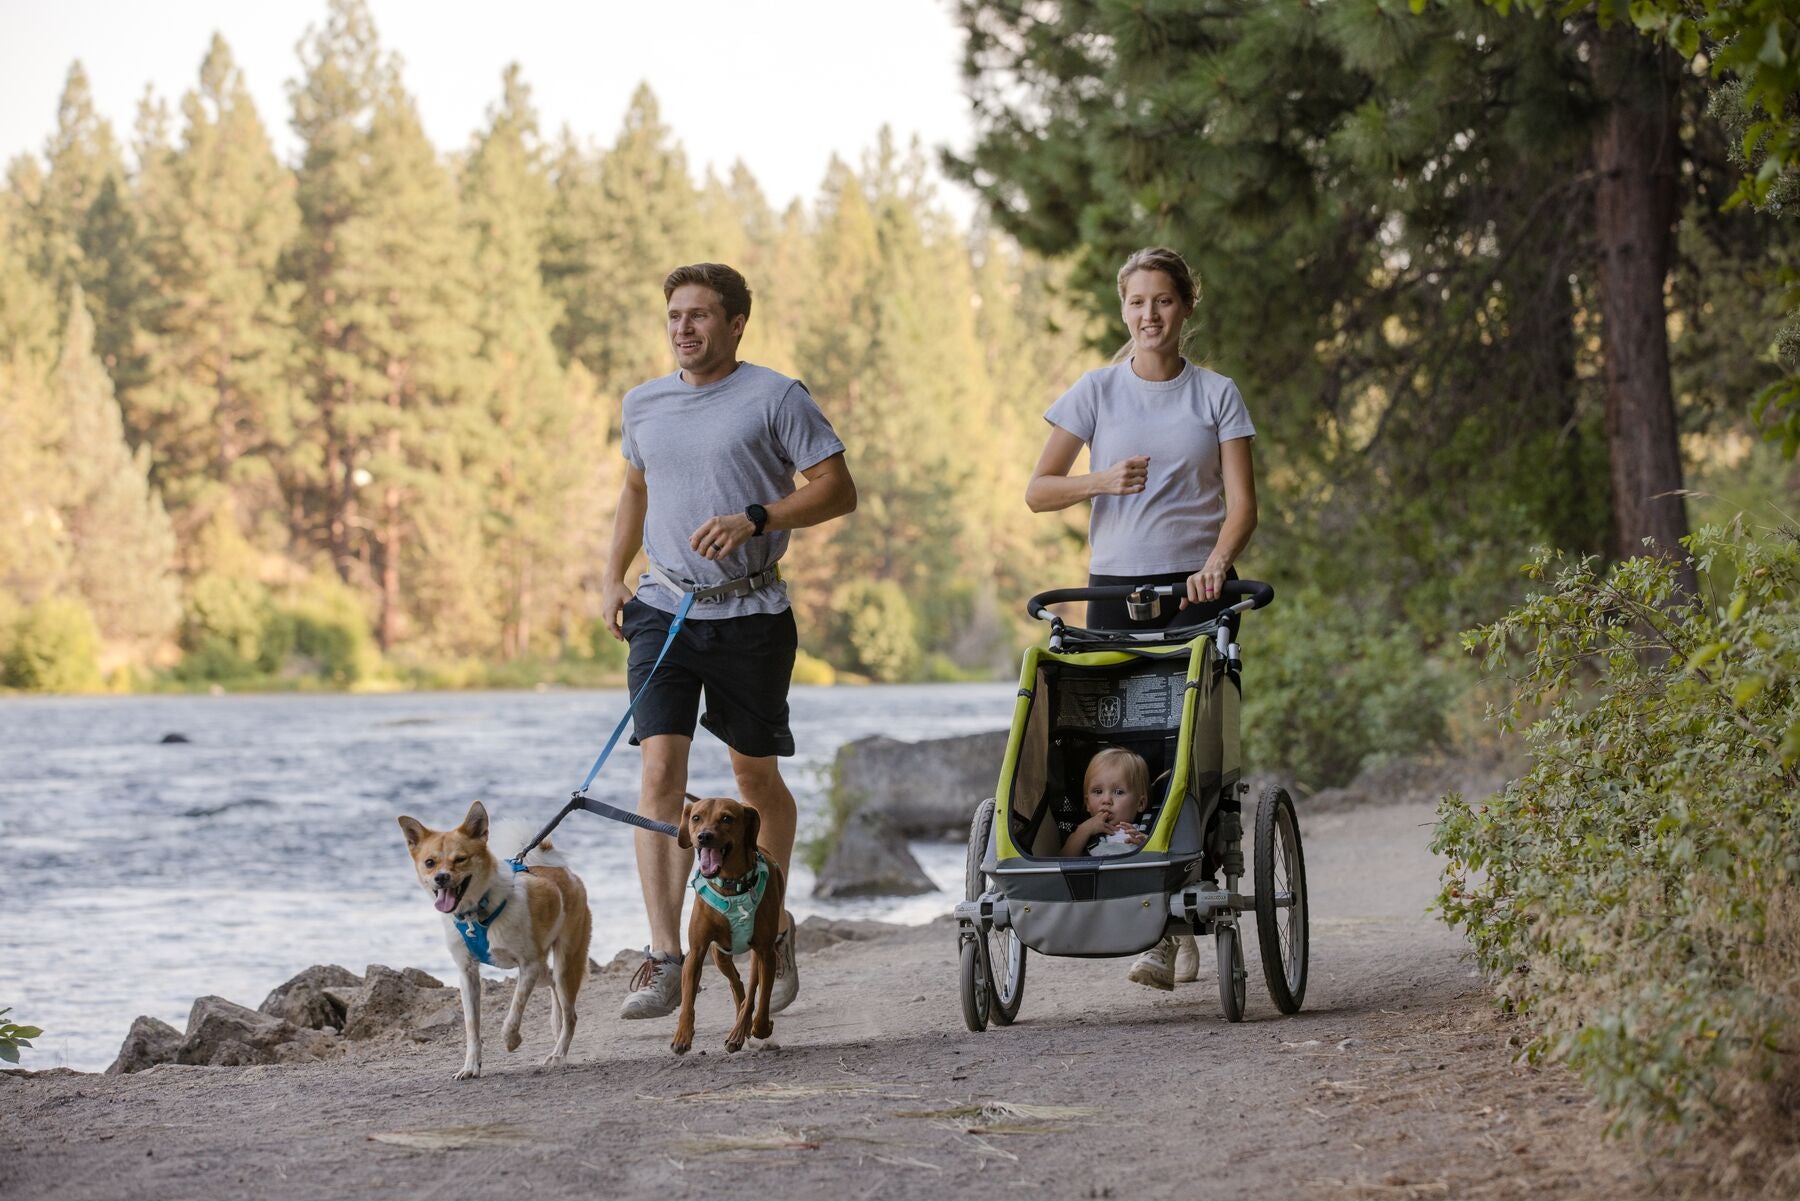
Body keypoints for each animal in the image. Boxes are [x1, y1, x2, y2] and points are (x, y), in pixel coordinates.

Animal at [397, 806, 594, 1080]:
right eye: (429, 862)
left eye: (461, 859)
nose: (441, 878)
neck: (477, 913)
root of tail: (564, 872)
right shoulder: (467, 972)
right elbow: (471, 1027)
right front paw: (471, 1066)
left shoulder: (528, 966)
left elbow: (512, 1014)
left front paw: (512, 1041)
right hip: (545, 971)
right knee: (554, 986)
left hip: (566, 963)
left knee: (571, 1013)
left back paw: (558, 1054)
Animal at [673, 792, 784, 1058]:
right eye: (696, 818)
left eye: (726, 819)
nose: (704, 836)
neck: (731, 884)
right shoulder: (697, 951)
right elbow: (688, 998)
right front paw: (682, 1036)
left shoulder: (765, 951)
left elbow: (761, 999)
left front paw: (761, 1027)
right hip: (720, 954)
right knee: (737, 985)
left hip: (758, 953)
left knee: (752, 990)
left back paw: (741, 1031)